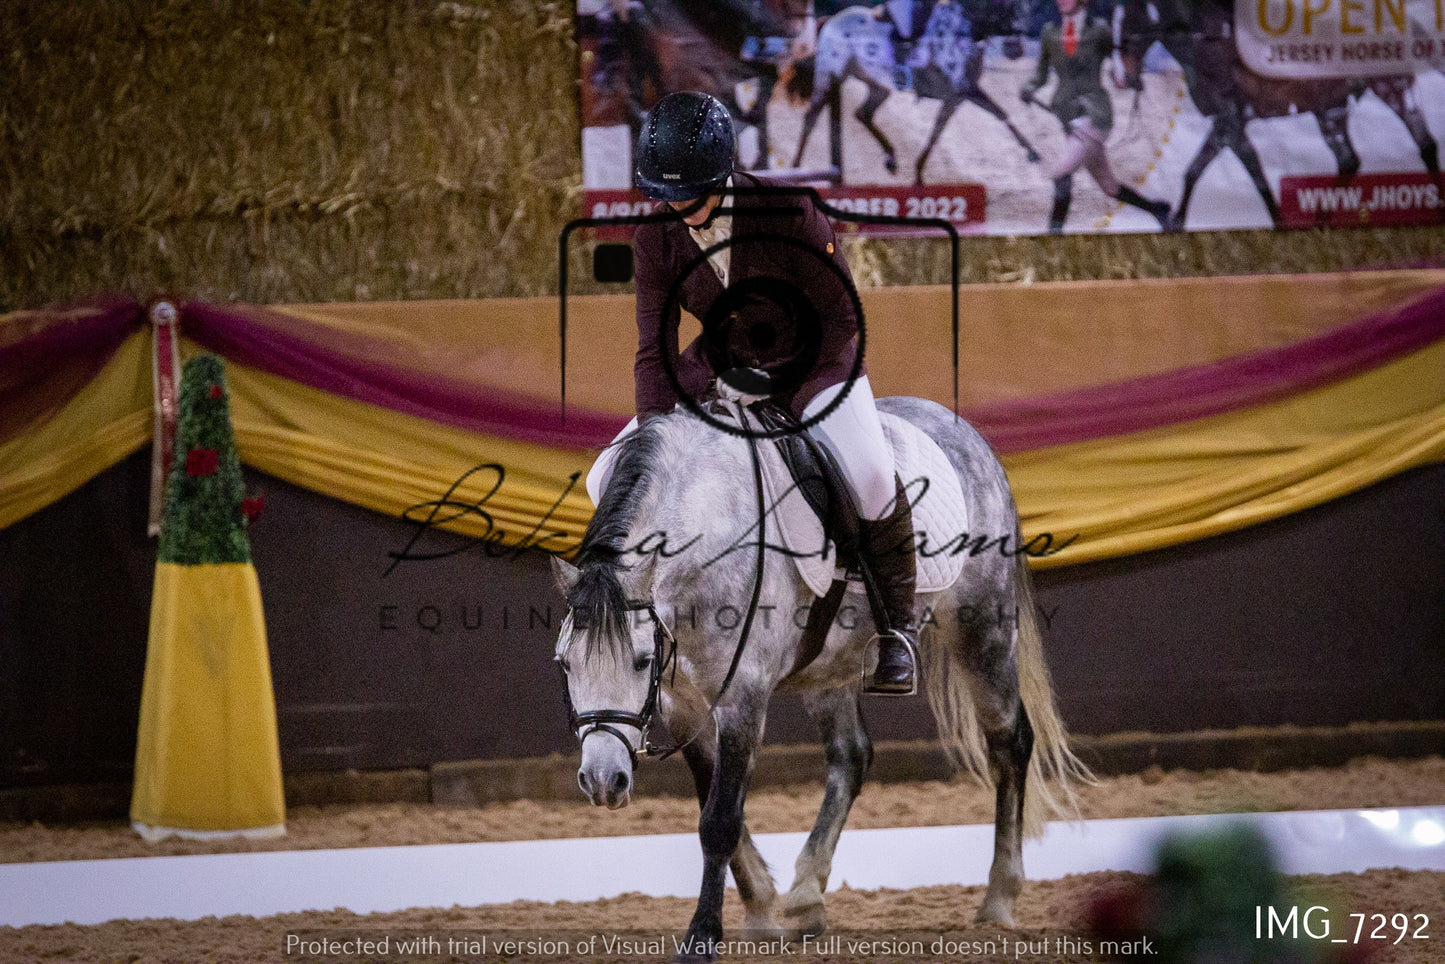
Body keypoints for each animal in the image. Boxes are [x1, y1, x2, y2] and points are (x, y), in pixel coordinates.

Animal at [551, 396, 1086, 959]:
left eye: (638, 660)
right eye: (565, 664)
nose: (603, 781)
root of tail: (962, 429)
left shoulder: (743, 698)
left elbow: (719, 822)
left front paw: (703, 937)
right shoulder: (682, 704)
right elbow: (715, 806)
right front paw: (763, 910)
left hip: (983, 627)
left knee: (1009, 742)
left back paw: (998, 899)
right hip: (832, 667)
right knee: (851, 756)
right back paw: (807, 897)